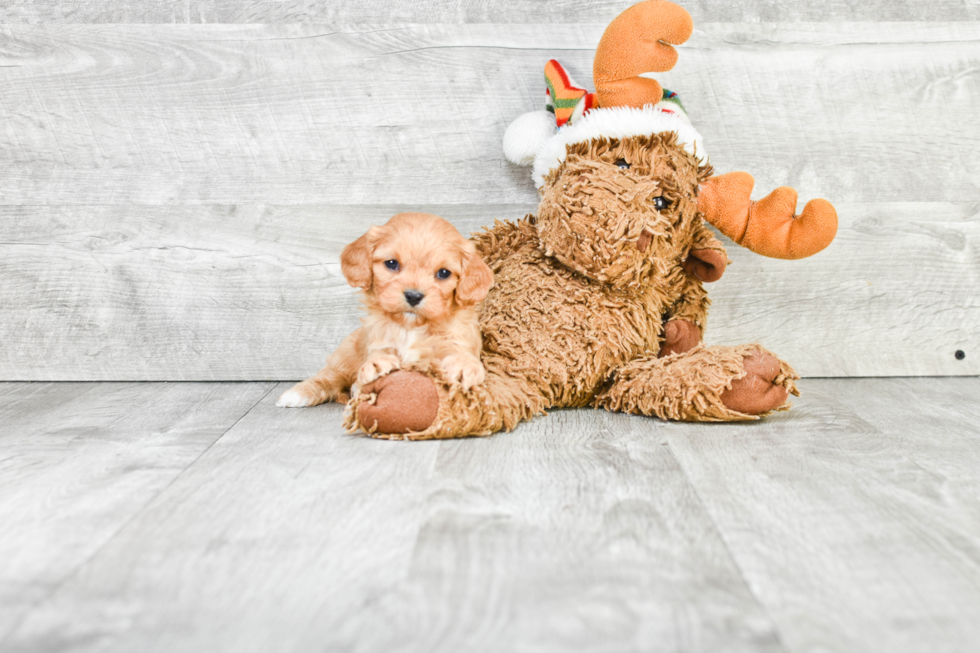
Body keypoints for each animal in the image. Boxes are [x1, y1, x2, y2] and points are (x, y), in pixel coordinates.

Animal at [276, 213, 494, 408]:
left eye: (443, 273)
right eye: (392, 263)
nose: (413, 296)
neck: (411, 327)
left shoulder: (456, 339)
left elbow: (458, 352)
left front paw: (464, 366)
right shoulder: (377, 340)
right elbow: (379, 354)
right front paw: (377, 364)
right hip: (344, 356)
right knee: (329, 376)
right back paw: (297, 394)